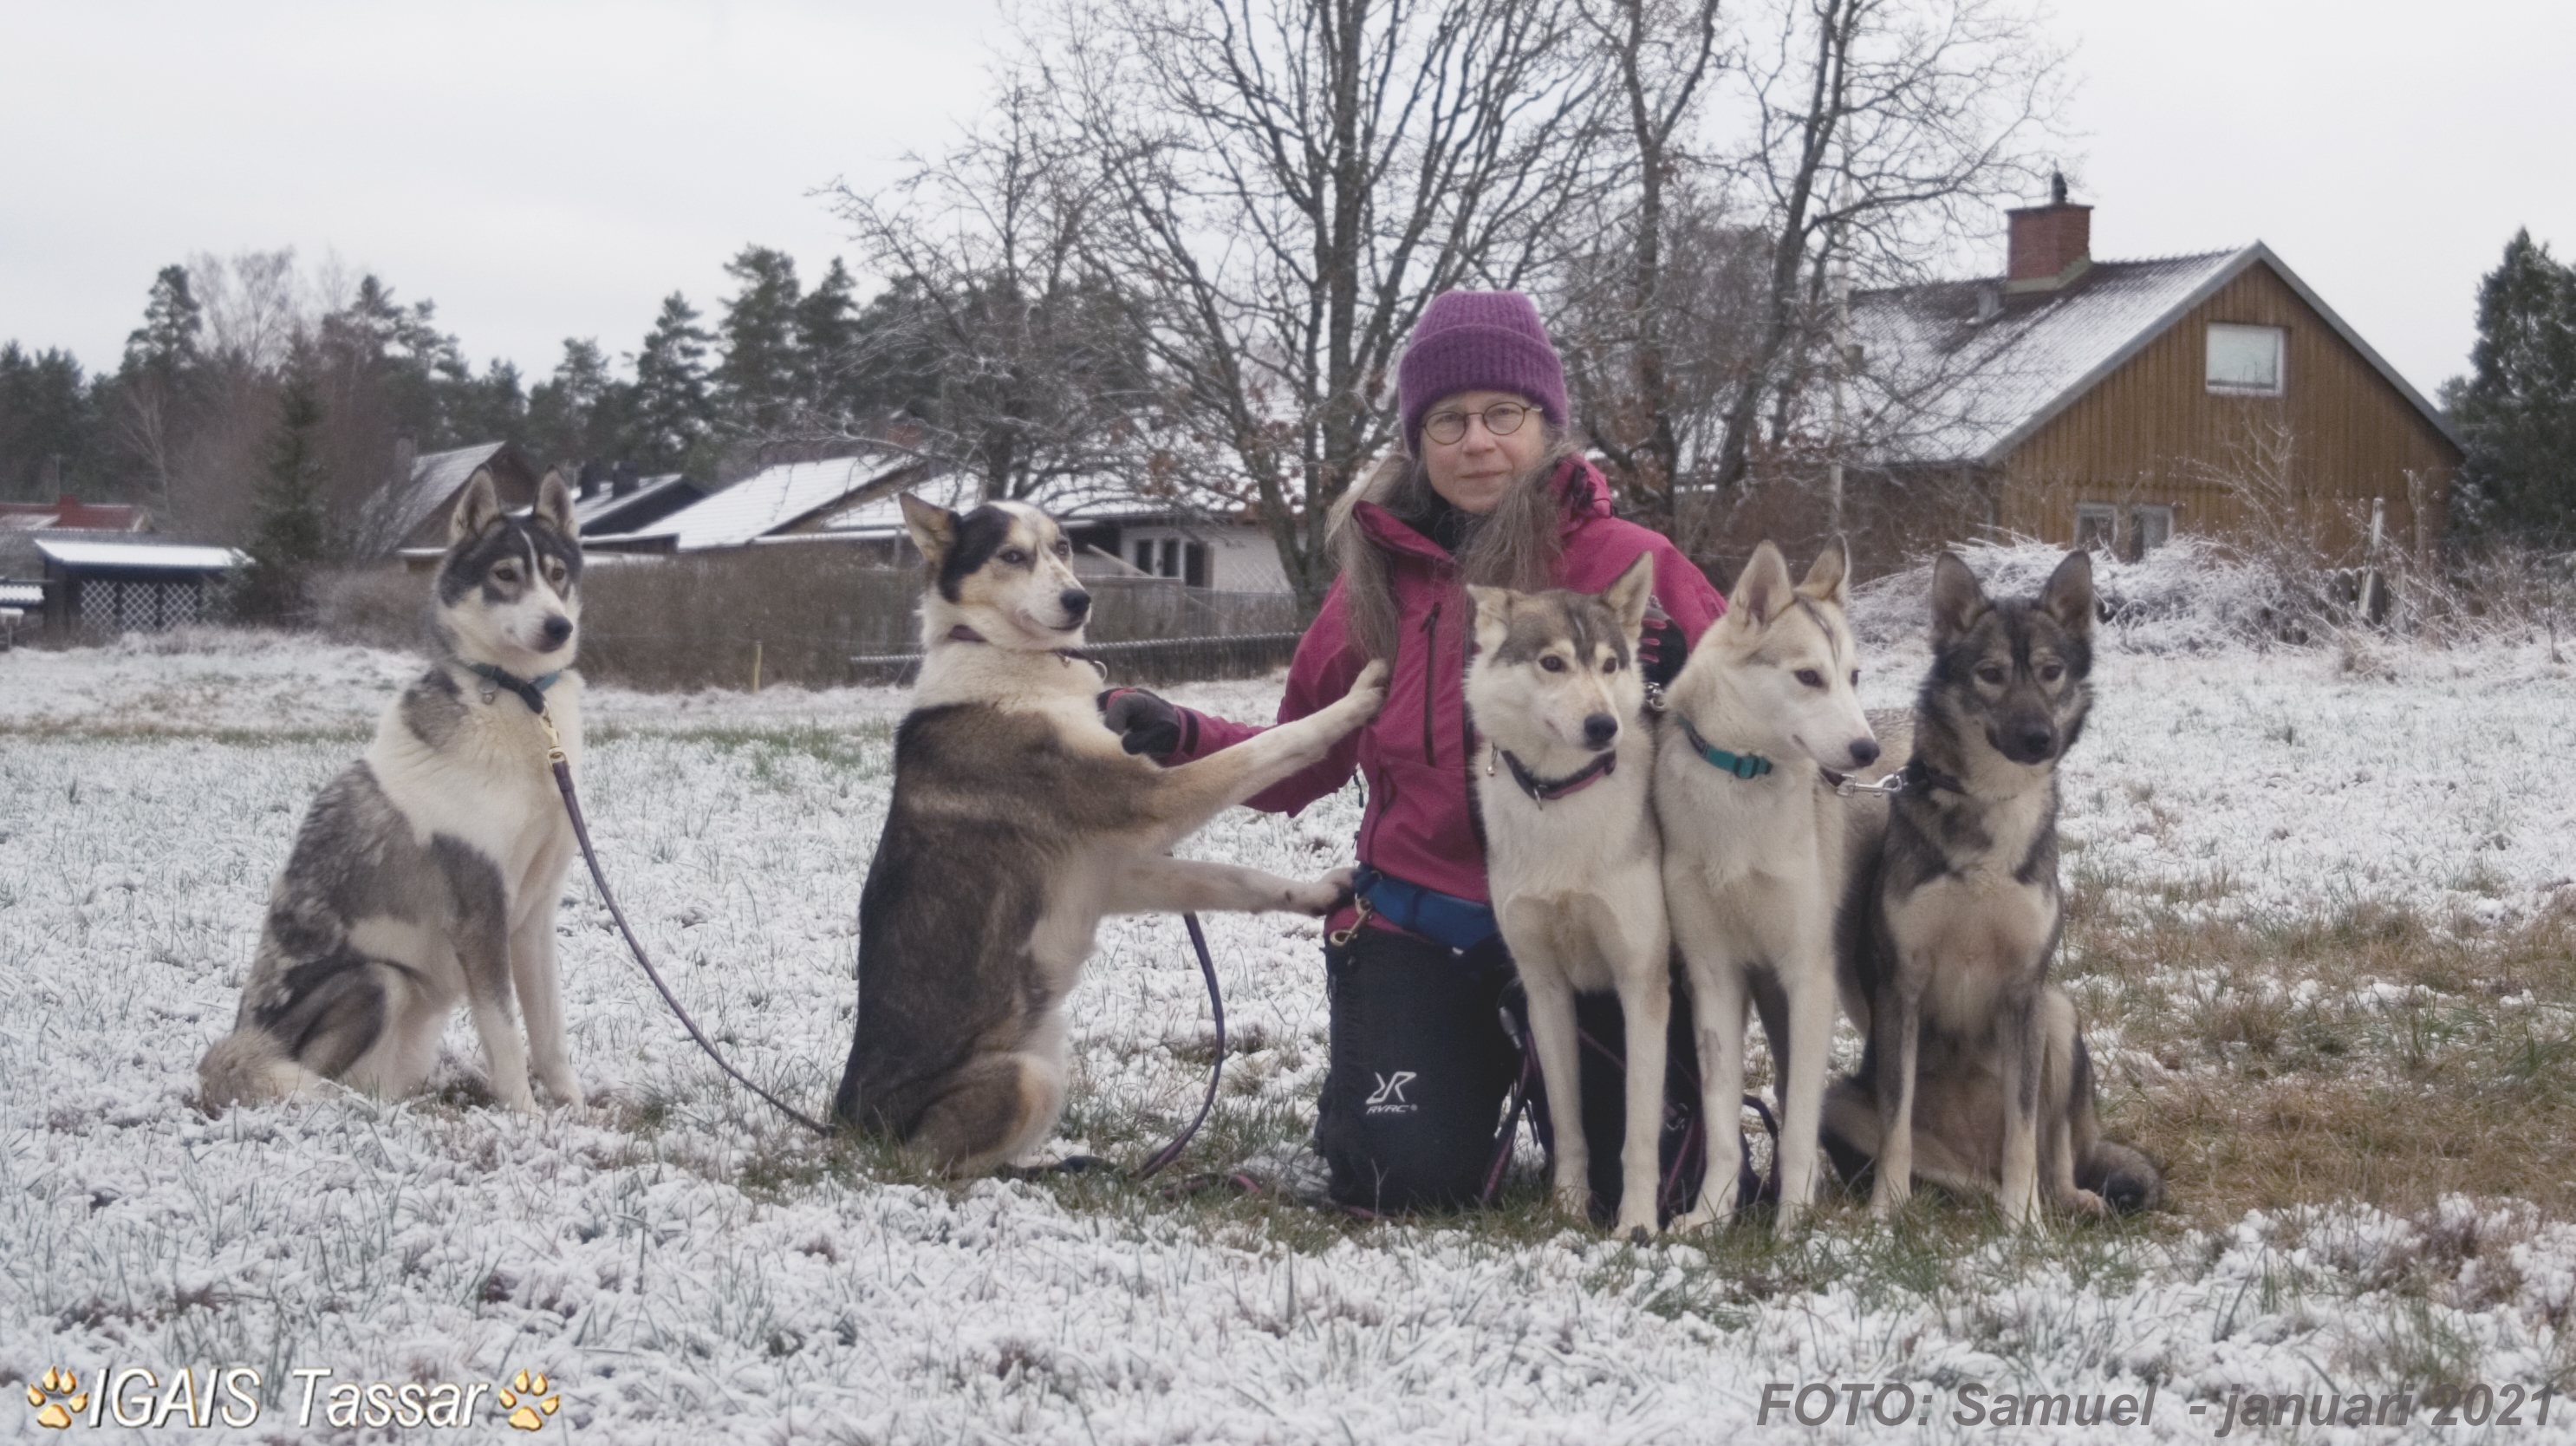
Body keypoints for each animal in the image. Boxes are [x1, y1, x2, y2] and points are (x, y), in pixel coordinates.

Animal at [198, 469, 587, 1108]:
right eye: (505, 575)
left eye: (557, 574)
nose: (559, 626)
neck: (521, 701)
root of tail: (227, 1065)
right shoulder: (480, 917)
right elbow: (507, 1035)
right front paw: (525, 1118)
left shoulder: (533, 918)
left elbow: (550, 1034)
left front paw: (573, 1111)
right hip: (378, 981)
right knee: (320, 1083)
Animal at [834, 494, 1380, 1175]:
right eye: (1011, 555)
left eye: (1063, 547)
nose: (1079, 600)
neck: (1014, 660)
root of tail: (849, 1125)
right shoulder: (1150, 801)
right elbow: (1279, 741)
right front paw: (1358, 697)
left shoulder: (1111, 873)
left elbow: (1235, 879)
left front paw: (1315, 895)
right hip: (1023, 1080)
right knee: (942, 1170)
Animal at [1473, 559, 1669, 1237]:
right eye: (1552, 663)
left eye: (1610, 665)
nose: (1604, 726)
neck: (1562, 799)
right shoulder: (1544, 989)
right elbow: (1569, 1122)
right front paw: (1566, 1210)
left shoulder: (1642, 984)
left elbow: (1639, 1133)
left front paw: (1637, 1226)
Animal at [1658, 538, 1885, 1227]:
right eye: (1809, 677)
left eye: (1853, 676)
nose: (1867, 751)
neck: (1742, 779)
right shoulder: (1713, 977)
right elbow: (1723, 1126)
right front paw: (1710, 1217)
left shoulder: (1809, 978)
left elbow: (1802, 1120)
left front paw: (1793, 1225)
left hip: (1853, 991)